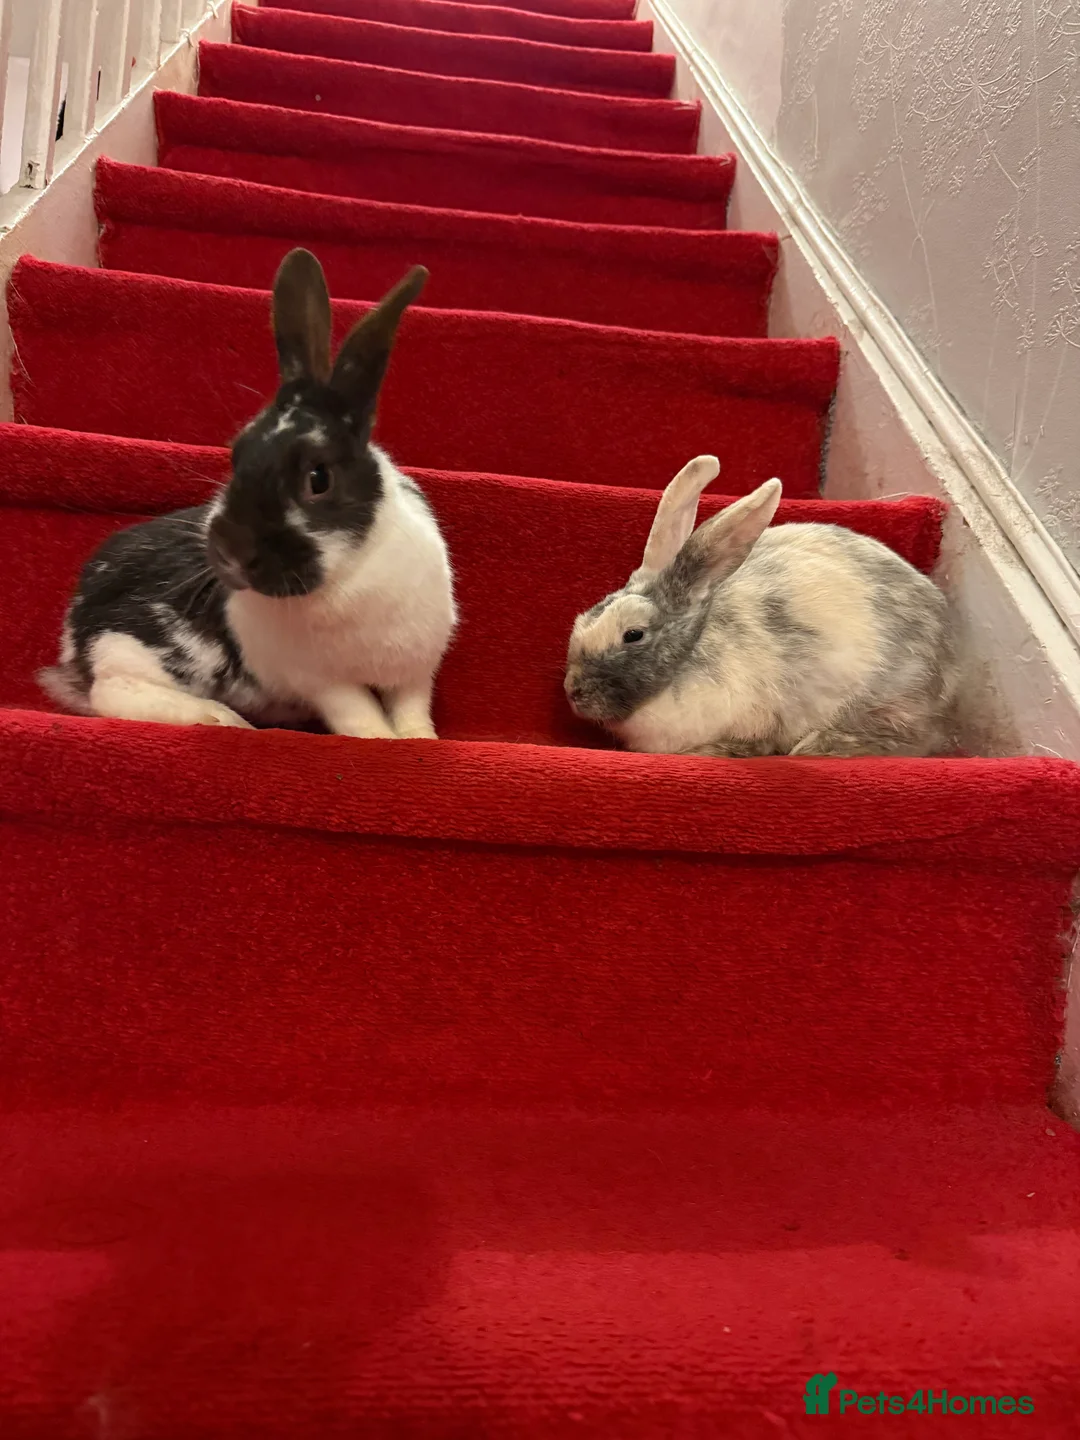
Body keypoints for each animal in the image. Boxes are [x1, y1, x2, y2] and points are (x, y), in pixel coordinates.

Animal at [39, 248, 456, 740]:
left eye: (318, 478)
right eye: (237, 452)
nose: (231, 551)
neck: (349, 573)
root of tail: (74, 627)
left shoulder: (414, 669)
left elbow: (412, 710)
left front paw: (420, 741)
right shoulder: (324, 683)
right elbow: (359, 715)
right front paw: (381, 741)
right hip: (128, 650)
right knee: (112, 691)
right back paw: (218, 717)